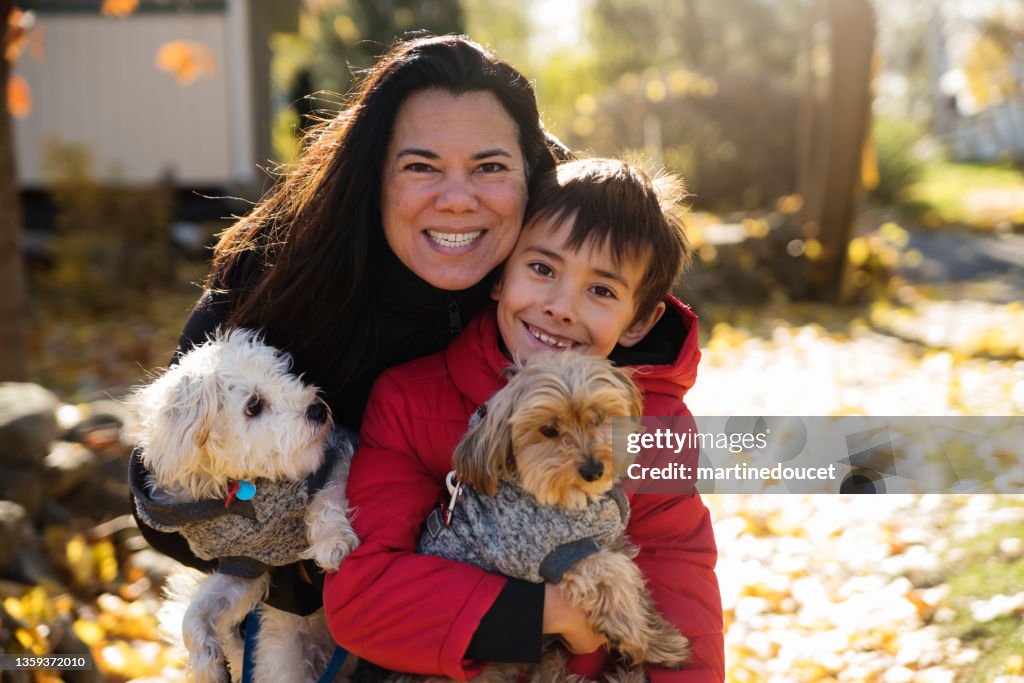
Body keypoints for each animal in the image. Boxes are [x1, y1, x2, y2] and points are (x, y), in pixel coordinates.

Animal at [131, 327, 360, 683]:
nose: (318, 410)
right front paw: (206, 665)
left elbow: (328, 498)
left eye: (285, 374)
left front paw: (333, 541)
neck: (246, 487)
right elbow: (195, 613)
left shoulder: (340, 453)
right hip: (282, 660)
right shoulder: (245, 565)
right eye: (254, 405)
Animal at [368, 352, 688, 683]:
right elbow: (617, 577)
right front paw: (650, 643)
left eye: (599, 417)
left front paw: (658, 631)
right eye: (548, 430)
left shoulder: (608, 540)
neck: (565, 499)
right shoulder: (561, 556)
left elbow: (636, 582)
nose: (593, 470)